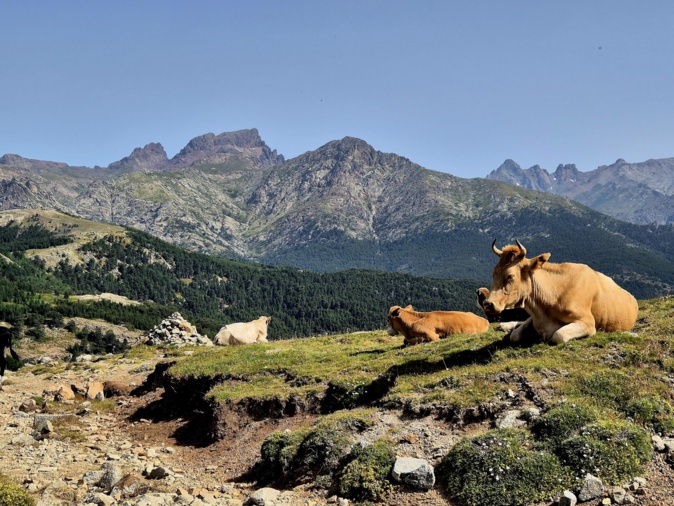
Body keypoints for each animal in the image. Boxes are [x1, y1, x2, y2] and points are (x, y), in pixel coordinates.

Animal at [483, 240, 639, 345]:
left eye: (510, 276)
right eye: (493, 273)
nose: (487, 304)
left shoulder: (588, 322)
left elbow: (559, 335)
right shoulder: (534, 319)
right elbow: (515, 335)